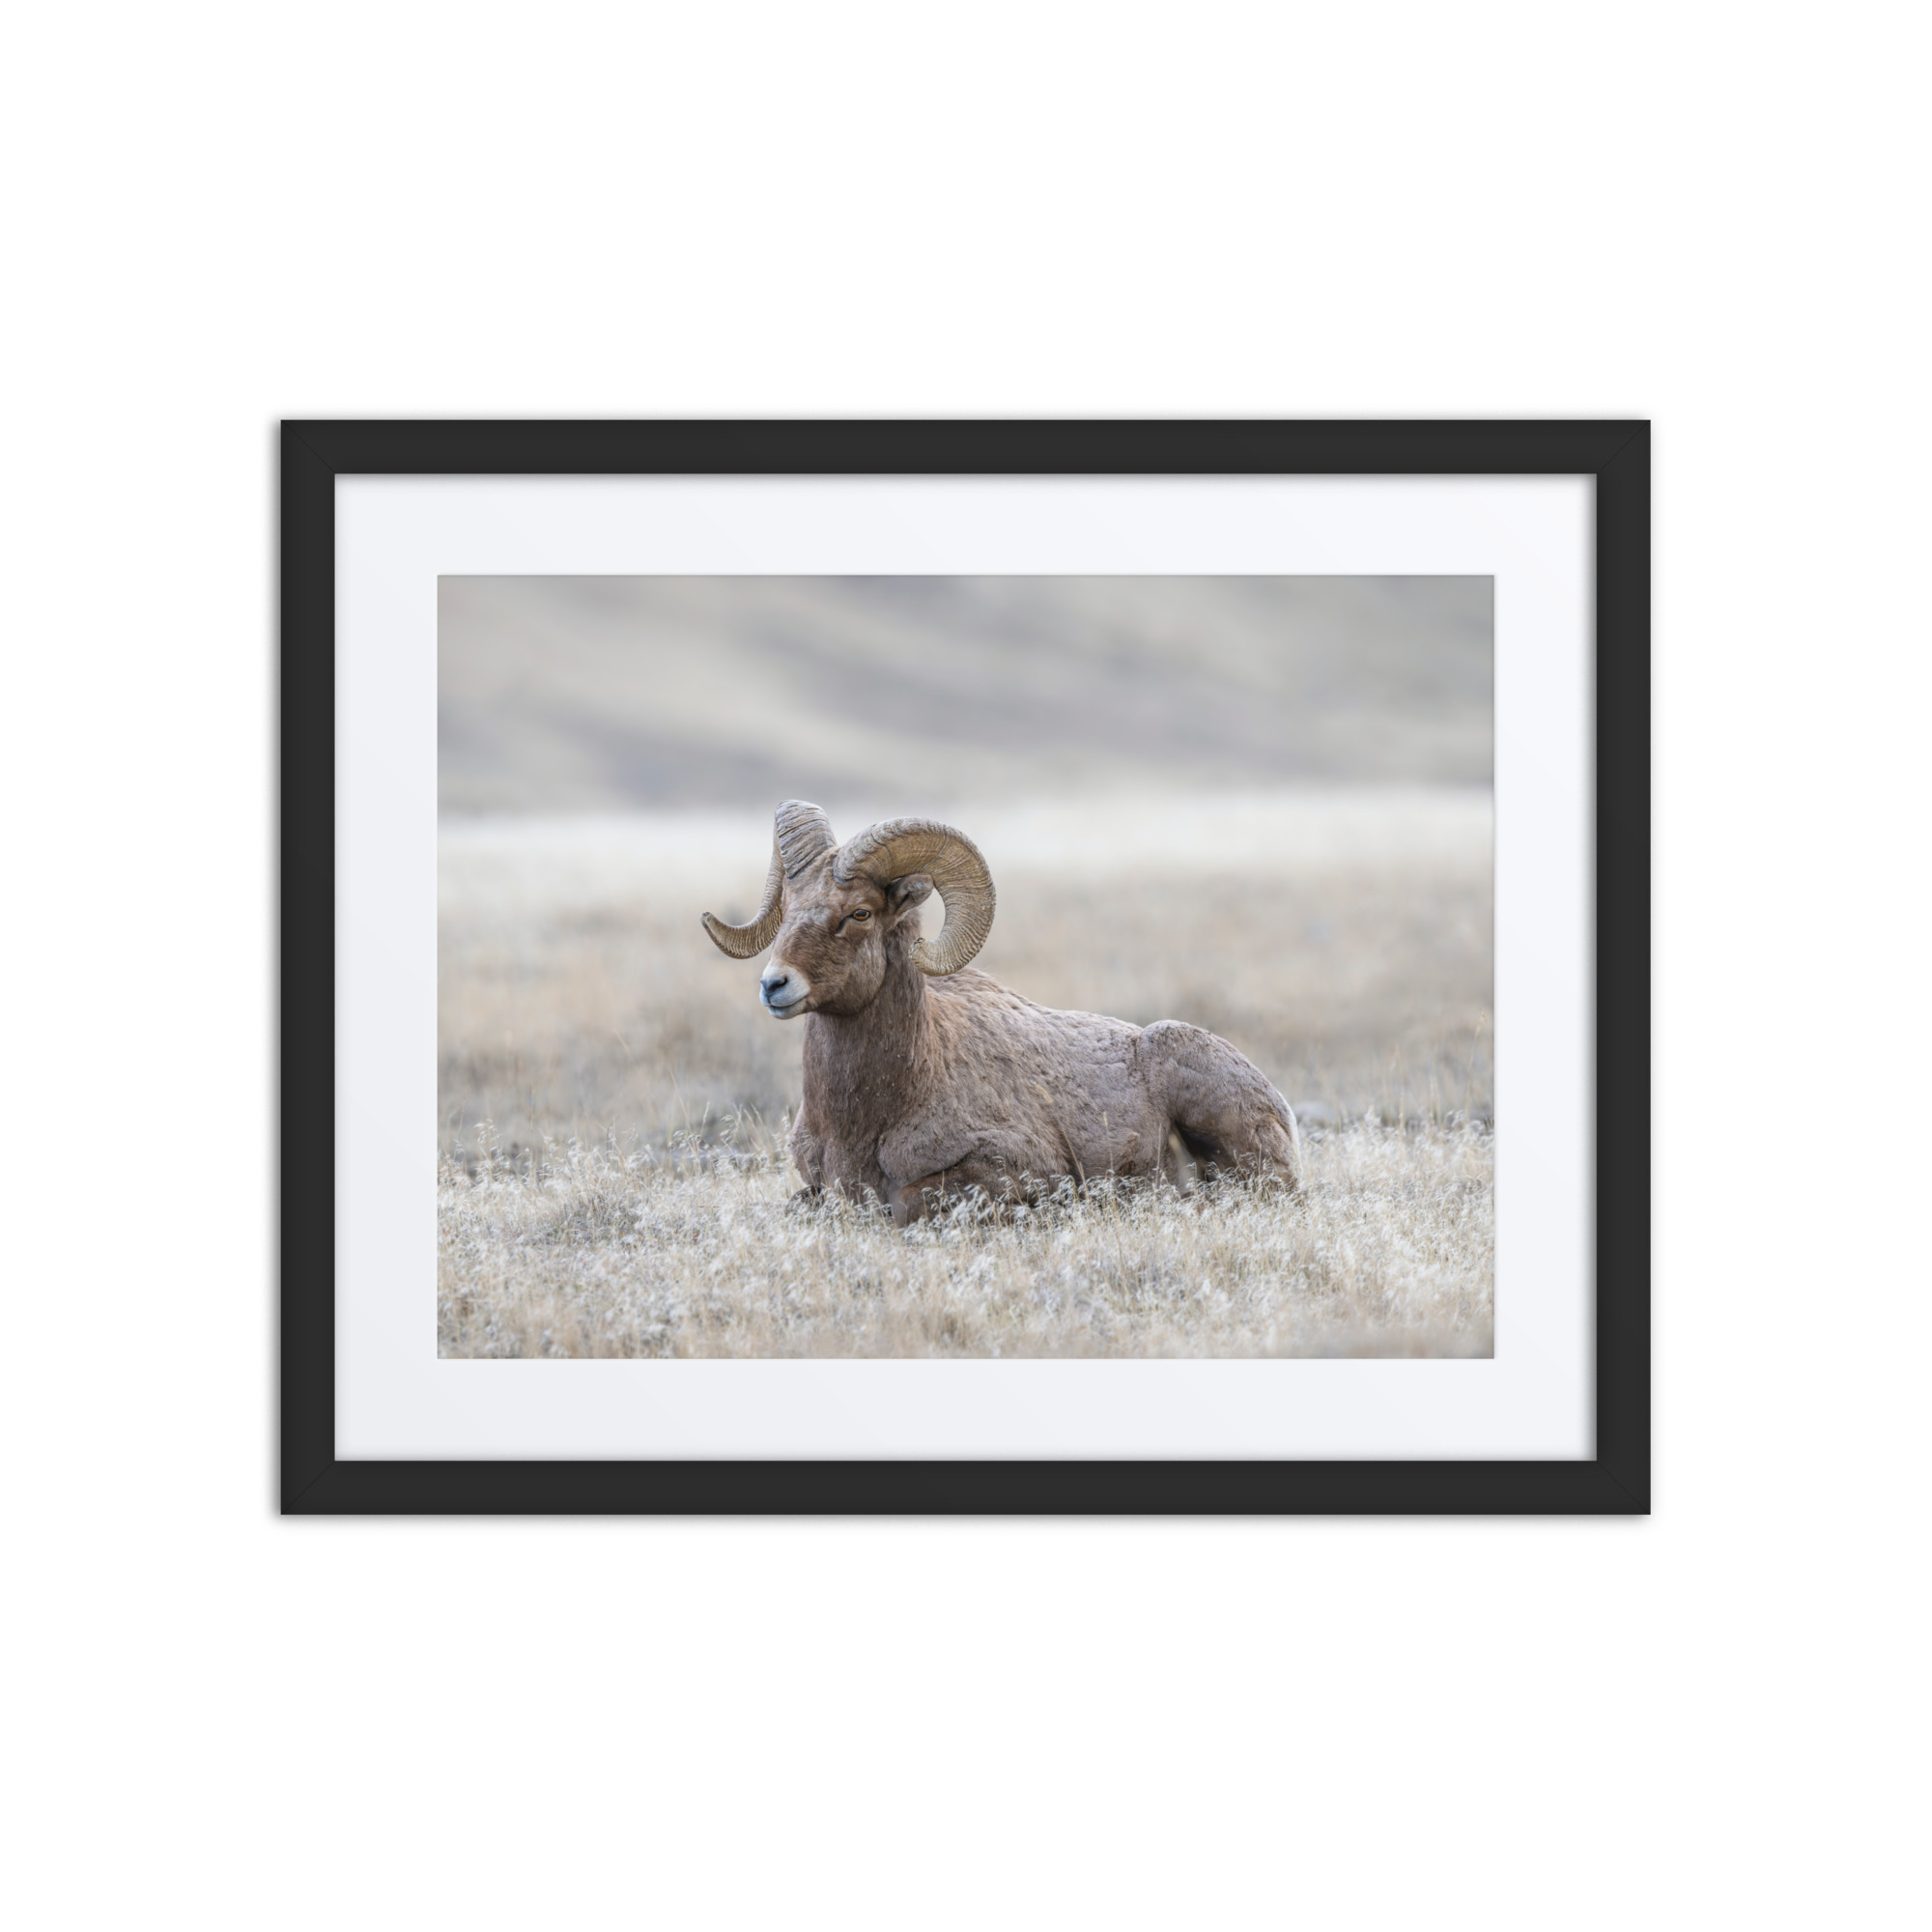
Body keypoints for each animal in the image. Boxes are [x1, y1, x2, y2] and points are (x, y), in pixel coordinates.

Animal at [702, 800, 1302, 1225]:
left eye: (860, 913)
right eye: (788, 909)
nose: (774, 985)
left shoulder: (1013, 1170)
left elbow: (908, 1203)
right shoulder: (816, 1185)